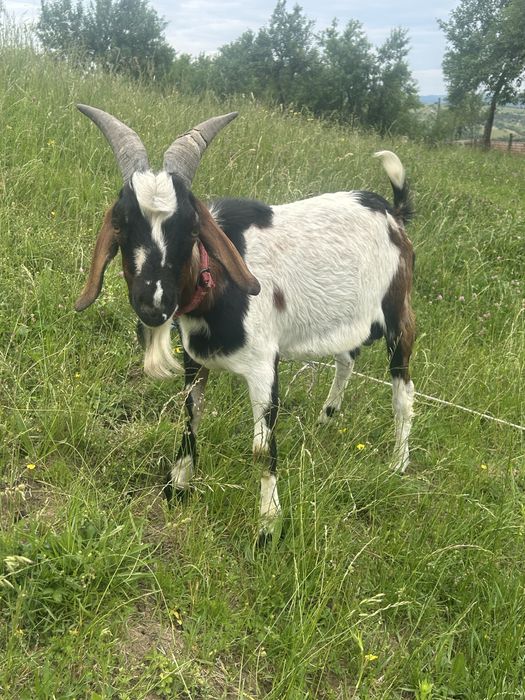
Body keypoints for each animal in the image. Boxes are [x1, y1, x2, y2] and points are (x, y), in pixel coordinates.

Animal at [75, 105, 415, 540]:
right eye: (120, 222)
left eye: (192, 227)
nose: (154, 303)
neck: (216, 284)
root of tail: (392, 213)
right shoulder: (195, 360)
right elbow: (189, 419)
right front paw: (178, 485)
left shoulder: (264, 365)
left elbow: (260, 448)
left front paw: (269, 525)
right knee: (347, 358)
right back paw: (326, 418)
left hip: (398, 314)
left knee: (403, 392)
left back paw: (397, 464)